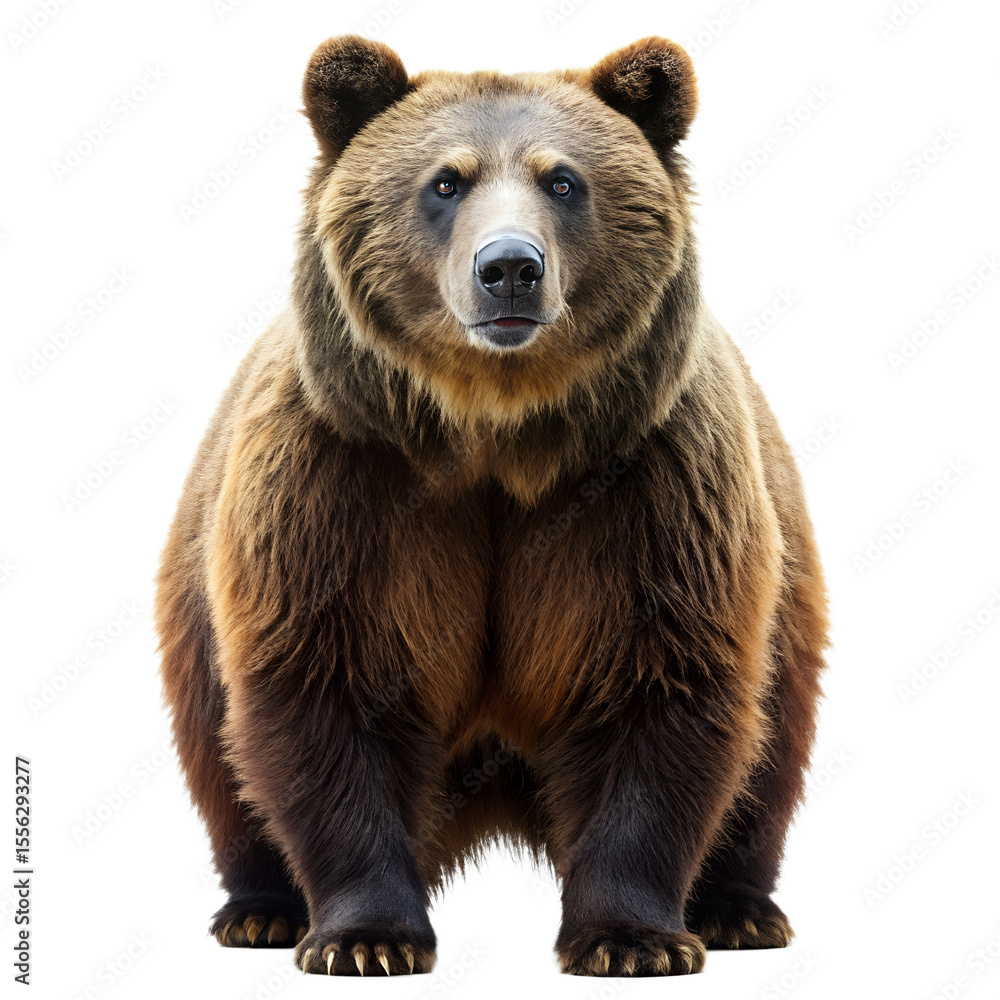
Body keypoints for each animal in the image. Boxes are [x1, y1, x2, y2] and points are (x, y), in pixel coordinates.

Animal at [155, 34, 828, 978]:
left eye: (563, 180)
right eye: (446, 181)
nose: (509, 268)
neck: (495, 435)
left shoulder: (651, 493)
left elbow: (658, 687)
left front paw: (632, 938)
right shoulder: (342, 485)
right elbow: (329, 684)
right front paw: (366, 937)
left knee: (770, 751)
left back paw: (739, 908)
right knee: (221, 758)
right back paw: (260, 909)